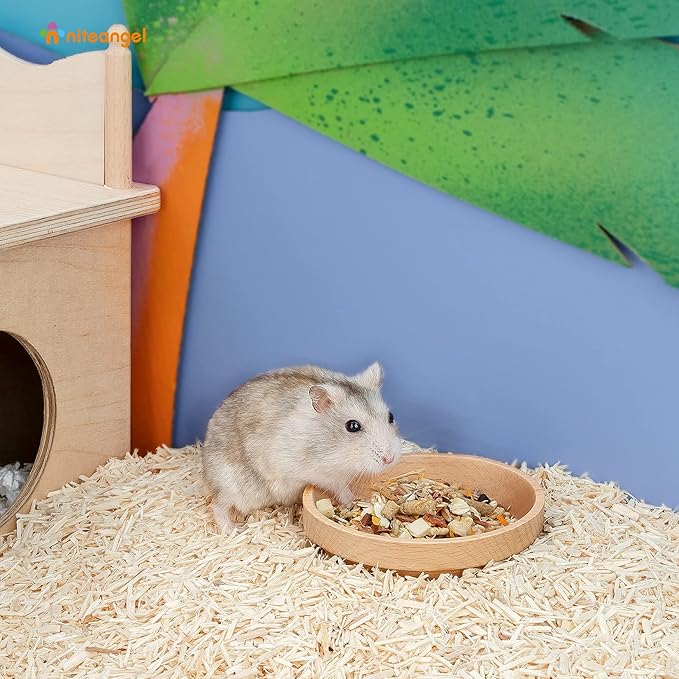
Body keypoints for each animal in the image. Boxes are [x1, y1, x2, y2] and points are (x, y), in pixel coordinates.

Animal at [202, 362, 403, 533]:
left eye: (391, 416)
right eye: (352, 426)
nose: (389, 459)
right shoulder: (317, 473)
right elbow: (339, 486)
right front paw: (352, 500)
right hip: (229, 484)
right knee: (217, 506)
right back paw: (232, 530)